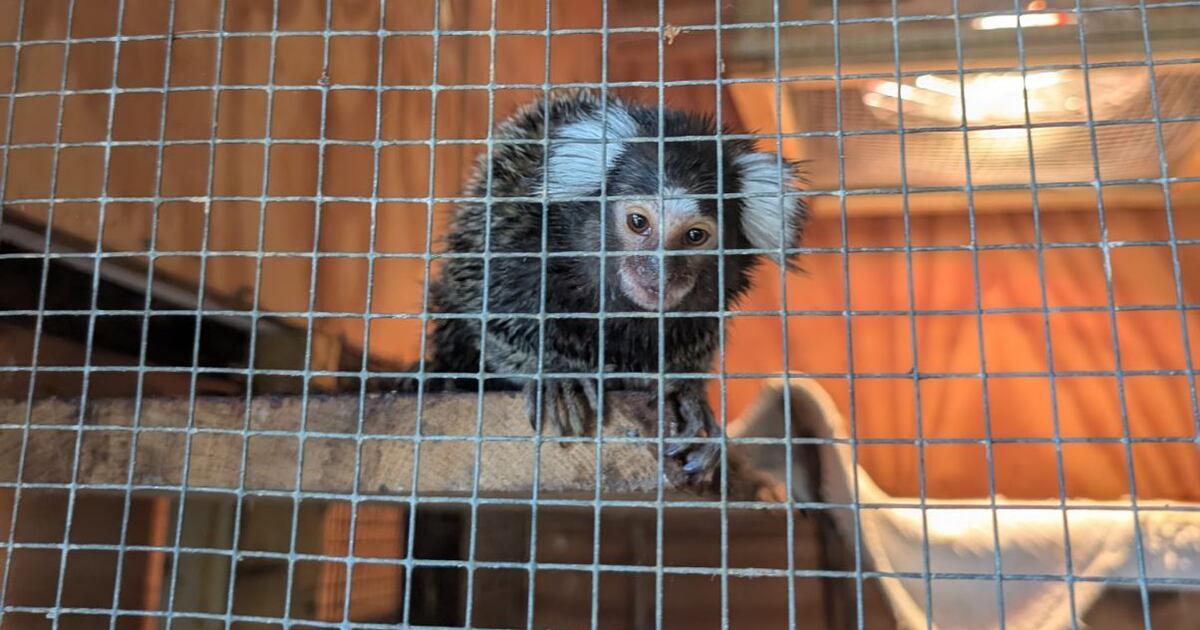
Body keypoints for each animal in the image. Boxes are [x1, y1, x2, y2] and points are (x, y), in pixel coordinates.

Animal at [422, 89, 807, 482]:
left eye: (695, 236)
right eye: (638, 222)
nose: (659, 272)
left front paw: (685, 394)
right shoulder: (513, 232)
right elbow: (492, 314)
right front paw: (556, 375)